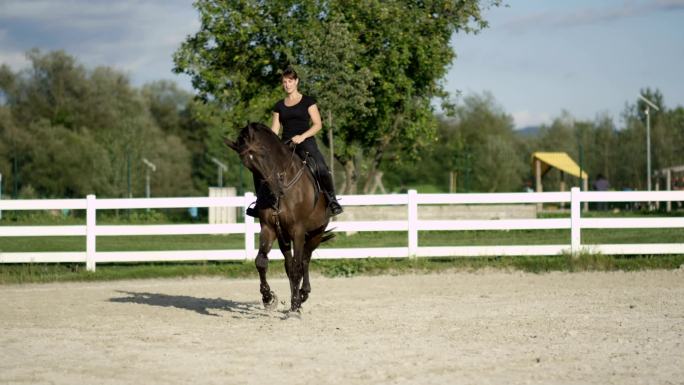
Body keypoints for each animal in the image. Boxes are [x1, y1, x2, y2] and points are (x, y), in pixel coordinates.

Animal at [226, 123, 332, 312]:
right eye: (247, 165)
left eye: (263, 154)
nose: (275, 189)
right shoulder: (269, 228)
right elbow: (261, 262)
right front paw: (268, 298)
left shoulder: (298, 230)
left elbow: (298, 266)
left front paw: (295, 305)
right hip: (285, 237)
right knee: (290, 264)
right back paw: (295, 297)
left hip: (316, 233)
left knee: (305, 260)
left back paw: (302, 294)